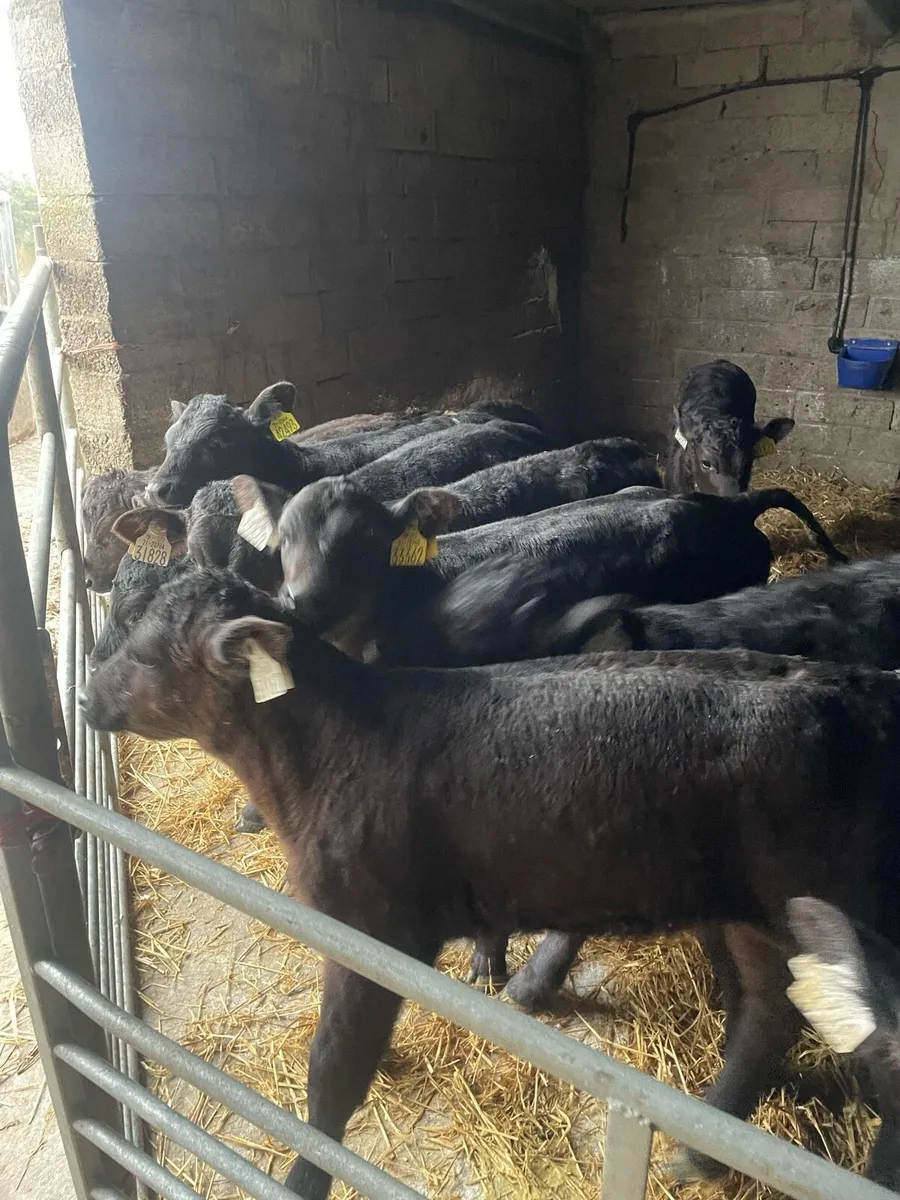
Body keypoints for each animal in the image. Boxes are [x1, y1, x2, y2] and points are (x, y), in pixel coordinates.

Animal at [80, 566, 900, 1198]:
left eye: (145, 653)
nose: (86, 698)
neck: (332, 748)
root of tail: (848, 687)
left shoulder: (371, 925)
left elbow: (332, 1070)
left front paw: (305, 1175)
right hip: (757, 911)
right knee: (768, 1012)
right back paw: (702, 1146)